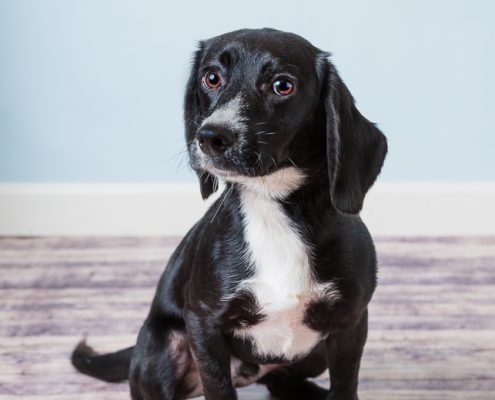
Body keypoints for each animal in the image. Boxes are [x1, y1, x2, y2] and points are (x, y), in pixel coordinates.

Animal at [71, 28, 388, 400]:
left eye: (283, 85)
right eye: (211, 78)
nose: (210, 136)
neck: (273, 209)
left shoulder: (350, 325)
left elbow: (344, 387)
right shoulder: (203, 323)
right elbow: (219, 388)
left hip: (314, 355)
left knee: (282, 379)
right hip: (165, 347)